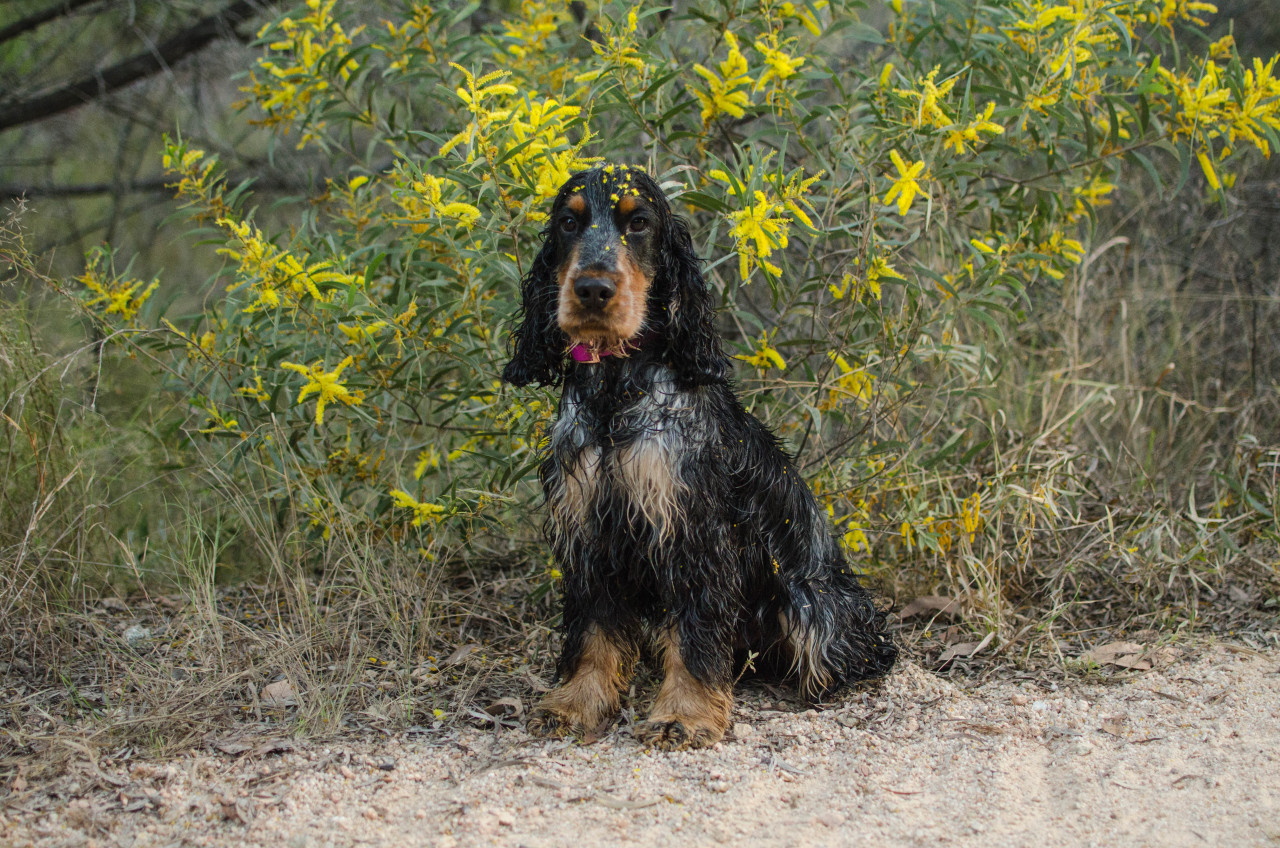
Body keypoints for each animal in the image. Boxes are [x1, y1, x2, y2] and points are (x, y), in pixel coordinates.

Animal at [501, 166, 901, 753]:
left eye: (639, 223)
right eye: (569, 222)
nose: (593, 290)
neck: (616, 391)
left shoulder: (694, 532)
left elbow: (696, 633)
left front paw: (683, 716)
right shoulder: (589, 531)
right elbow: (593, 630)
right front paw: (576, 703)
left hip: (813, 606)